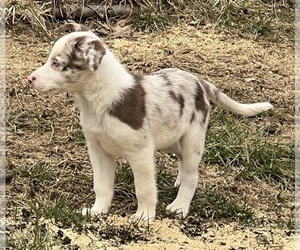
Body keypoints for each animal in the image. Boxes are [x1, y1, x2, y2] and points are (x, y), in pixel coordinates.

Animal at [27, 24, 274, 222]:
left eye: (56, 63)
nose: (30, 79)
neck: (96, 102)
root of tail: (198, 80)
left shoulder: (140, 152)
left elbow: (144, 188)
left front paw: (144, 216)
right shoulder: (97, 150)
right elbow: (102, 185)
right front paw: (98, 211)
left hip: (192, 138)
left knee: (192, 175)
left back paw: (180, 207)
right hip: (172, 139)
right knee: (182, 163)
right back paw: (178, 182)